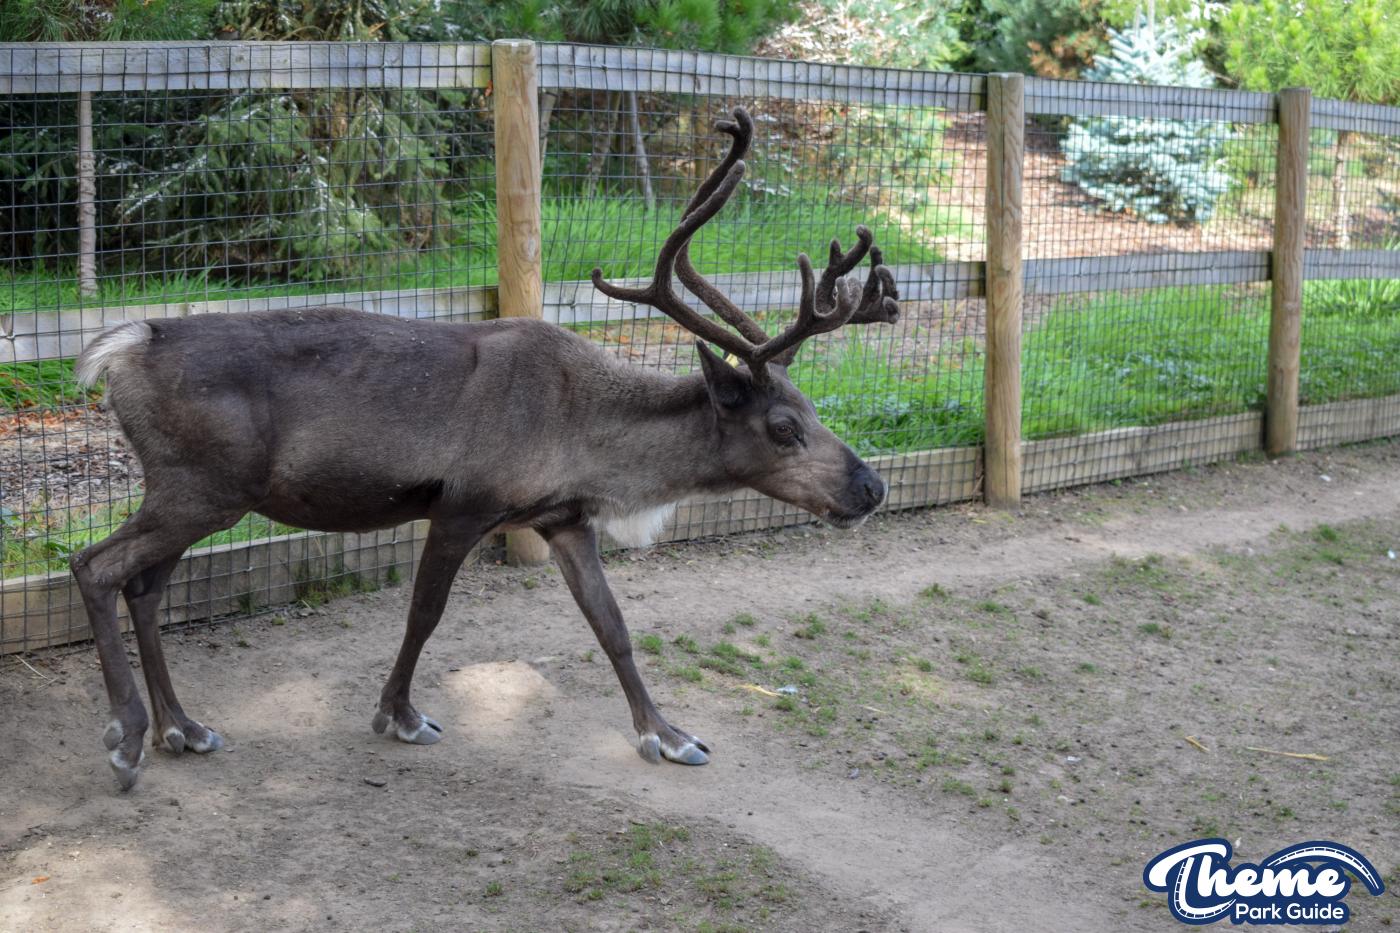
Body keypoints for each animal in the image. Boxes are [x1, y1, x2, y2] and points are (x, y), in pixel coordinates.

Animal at [70, 107, 900, 791]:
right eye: (783, 426)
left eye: (813, 408)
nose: (872, 488)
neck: (584, 431)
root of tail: (124, 346)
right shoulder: (464, 505)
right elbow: (424, 614)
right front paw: (400, 714)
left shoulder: (564, 518)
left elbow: (614, 627)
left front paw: (668, 735)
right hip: (199, 490)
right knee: (95, 564)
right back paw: (129, 736)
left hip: (197, 496)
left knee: (143, 585)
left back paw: (184, 727)